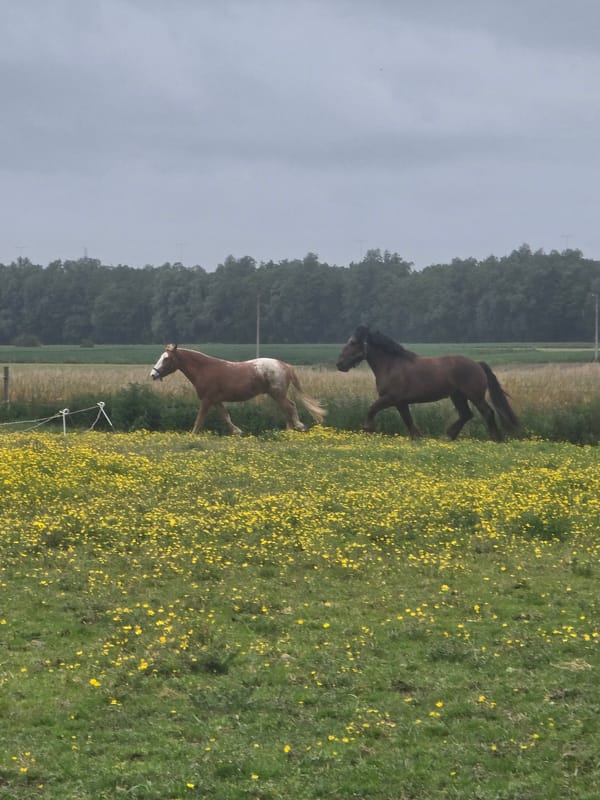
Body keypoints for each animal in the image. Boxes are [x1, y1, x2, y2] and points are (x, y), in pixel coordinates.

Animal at [150, 344, 326, 435]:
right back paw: (289, 431)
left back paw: (299, 426)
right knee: (287, 409)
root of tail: (285, 365)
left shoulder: (207, 400)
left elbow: (199, 420)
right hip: (276, 395)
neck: (204, 370)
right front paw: (238, 432)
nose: (153, 374)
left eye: (167, 359)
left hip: (278, 393)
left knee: (290, 407)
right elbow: (225, 417)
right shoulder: (216, 401)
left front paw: (192, 436)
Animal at [336, 325, 519, 442]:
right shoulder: (401, 402)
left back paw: (496, 438)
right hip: (457, 396)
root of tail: (477, 364)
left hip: (474, 395)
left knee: (487, 412)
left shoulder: (390, 398)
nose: (339, 364)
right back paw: (449, 435)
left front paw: (368, 428)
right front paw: (417, 438)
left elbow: (372, 408)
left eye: (352, 342)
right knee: (466, 414)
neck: (391, 365)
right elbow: (408, 420)